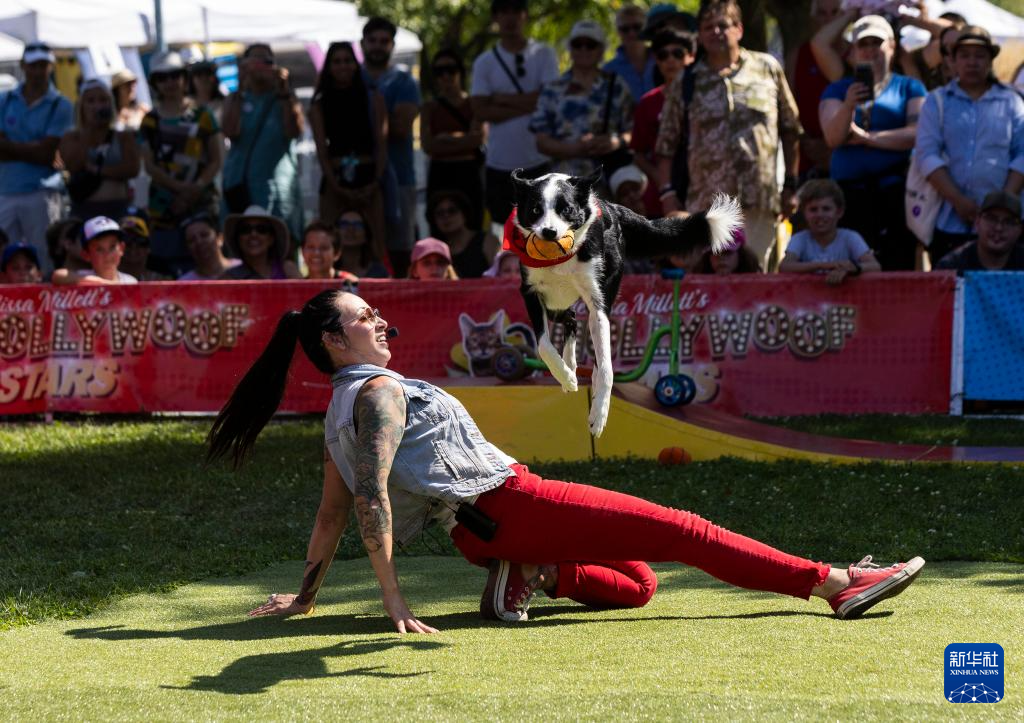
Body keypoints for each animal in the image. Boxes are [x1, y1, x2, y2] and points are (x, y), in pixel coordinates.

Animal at [506, 167, 742, 437]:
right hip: (556, 303)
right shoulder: (530, 293)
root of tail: (615, 208)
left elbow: (607, 367)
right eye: (535, 209)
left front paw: (599, 415)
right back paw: (570, 368)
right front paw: (566, 376)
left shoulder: (598, 304)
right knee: (571, 321)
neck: (560, 259)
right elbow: (544, 345)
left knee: (587, 340)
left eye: (566, 209)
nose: (549, 232)